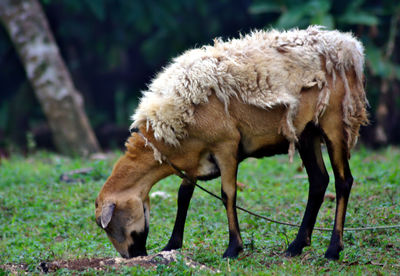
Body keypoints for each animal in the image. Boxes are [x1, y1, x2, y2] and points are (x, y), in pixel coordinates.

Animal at [94, 24, 368, 260]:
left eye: (110, 226)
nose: (132, 256)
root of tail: (349, 46)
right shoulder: (194, 158)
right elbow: (184, 195)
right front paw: (172, 244)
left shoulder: (225, 145)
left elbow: (228, 194)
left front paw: (233, 248)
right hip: (306, 132)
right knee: (319, 181)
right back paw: (296, 246)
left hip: (334, 121)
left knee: (343, 181)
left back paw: (332, 249)